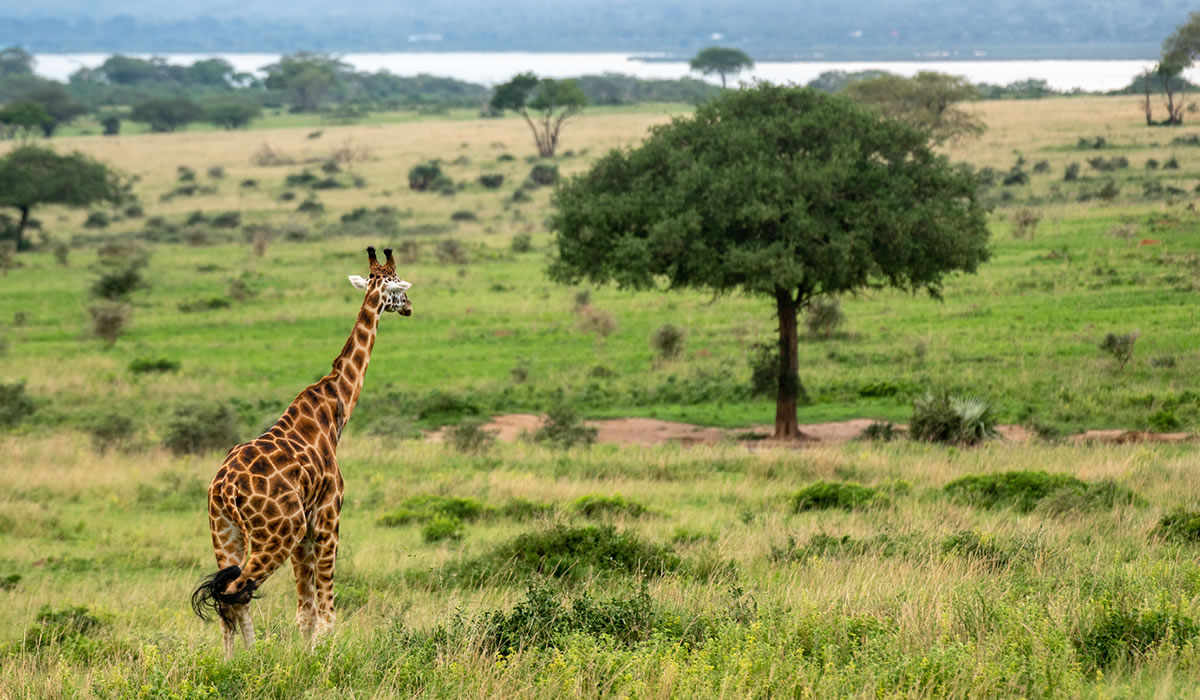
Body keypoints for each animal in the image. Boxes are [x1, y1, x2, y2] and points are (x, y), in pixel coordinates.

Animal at [189, 247, 410, 657]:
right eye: (398, 288)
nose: (409, 308)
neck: (334, 410)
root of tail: (225, 489)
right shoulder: (327, 517)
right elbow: (325, 611)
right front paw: (323, 656)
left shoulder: (305, 530)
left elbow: (304, 612)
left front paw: (306, 656)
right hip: (275, 534)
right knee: (233, 590)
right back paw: (250, 658)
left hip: (224, 531)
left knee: (231, 599)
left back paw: (233, 662)